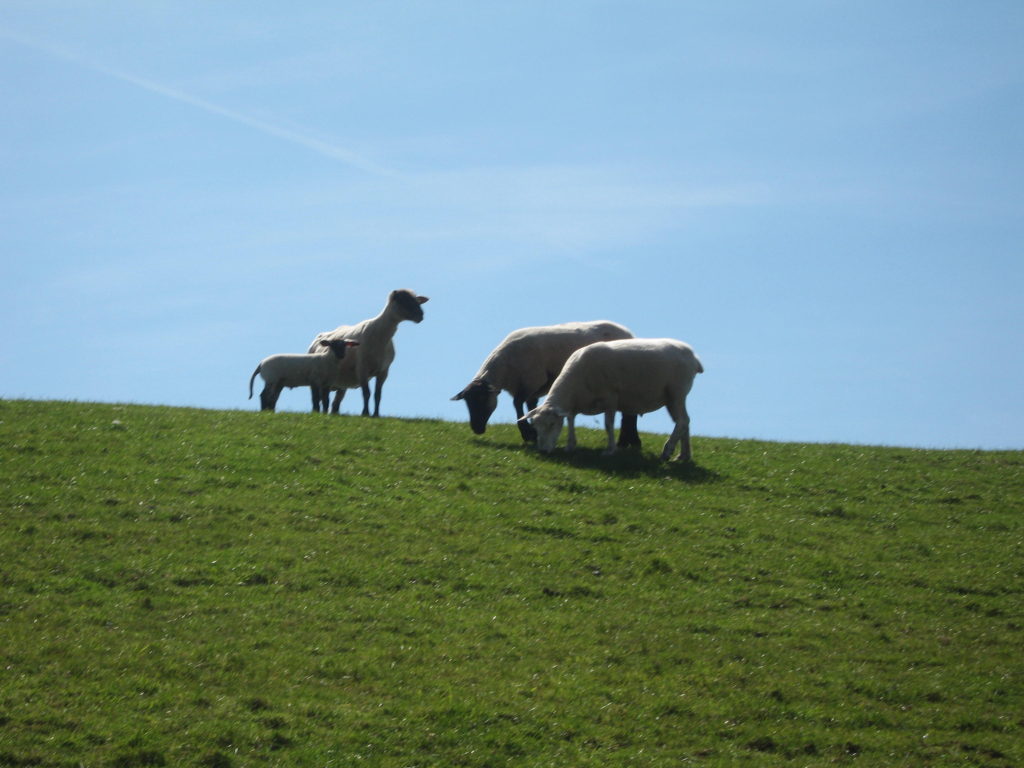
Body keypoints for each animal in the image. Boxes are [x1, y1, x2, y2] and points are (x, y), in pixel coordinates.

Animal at [307, 288, 429, 417]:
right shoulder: (362, 368)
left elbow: (378, 395)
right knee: (318, 399)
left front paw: (376, 414)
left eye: (417, 301)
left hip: (340, 385)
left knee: (335, 404)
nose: (421, 316)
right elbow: (366, 393)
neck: (381, 336)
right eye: (403, 301)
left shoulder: (384, 371)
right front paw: (365, 413)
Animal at [451, 320, 640, 444]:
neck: (504, 366)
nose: (477, 429)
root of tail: (627, 332)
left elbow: (517, 403)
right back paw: (629, 441)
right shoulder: (532, 387)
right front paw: (533, 431)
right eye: (467, 403)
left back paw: (630, 442)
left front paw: (527, 433)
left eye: (482, 399)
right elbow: (529, 405)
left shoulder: (533, 379)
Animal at [518, 338, 703, 462]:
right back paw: (683, 455)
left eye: (551, 424)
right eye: (535, 426)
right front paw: (570, 445)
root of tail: (692, 356)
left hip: (676, 392)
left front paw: (610, 450)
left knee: (682, 421)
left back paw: (667, 451)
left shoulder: (611, 398)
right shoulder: (575, 403)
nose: (542, 451)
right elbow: (571, 421)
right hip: (672, 398)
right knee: (684, 421)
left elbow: (608, 424)